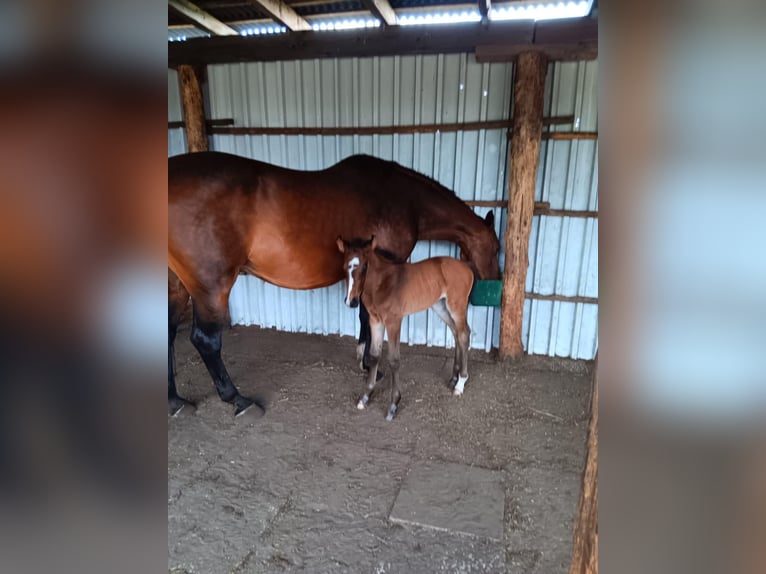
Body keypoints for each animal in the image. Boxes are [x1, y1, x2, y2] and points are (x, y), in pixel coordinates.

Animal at [340, 236, 476, 420]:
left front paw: (393, 405)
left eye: (365, 266)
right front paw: (365, 397)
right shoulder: (375, 321)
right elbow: (374, 355)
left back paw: (460, 383)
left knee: (464, 334)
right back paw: (454, 378)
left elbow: (394, 360)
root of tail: (466, 267)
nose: (352, 301)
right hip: (440, 307)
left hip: (457, 306)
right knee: (456, 333)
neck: (382, 283)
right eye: (343, 266)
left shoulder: (393, 321)